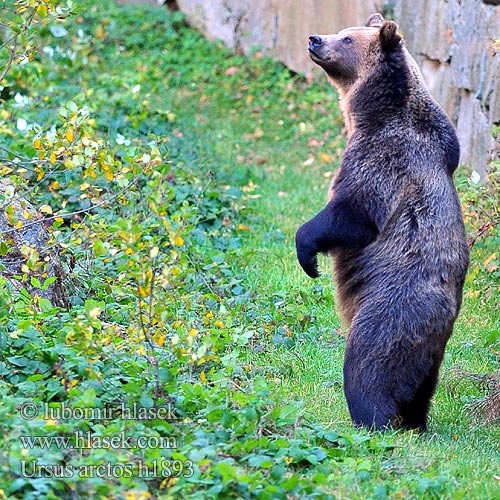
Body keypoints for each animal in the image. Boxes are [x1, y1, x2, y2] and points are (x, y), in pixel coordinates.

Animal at [294, 13, 470, 432]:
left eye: (347, 38)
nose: (315, 39)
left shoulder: (384, 161)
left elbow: (351, 213)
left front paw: (308, 256)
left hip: (391, 308)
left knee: (369, 364)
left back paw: (372, 419)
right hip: (430, 356)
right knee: (422, 387)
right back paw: (416, 422)